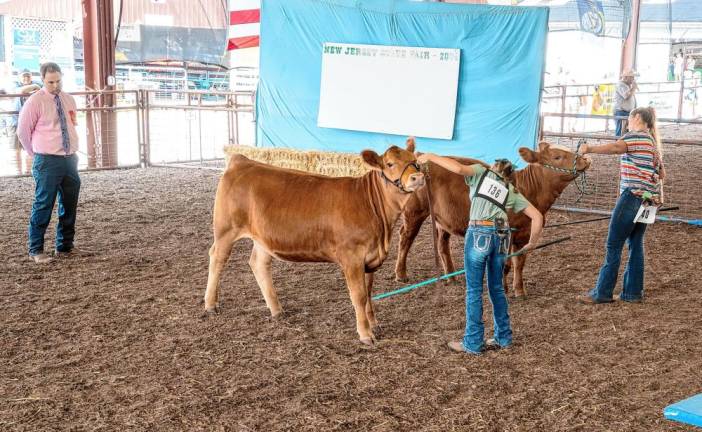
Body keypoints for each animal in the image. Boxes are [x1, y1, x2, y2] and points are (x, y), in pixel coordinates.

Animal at [204, 138, 424, 344]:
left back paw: (276, 309)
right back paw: (210, 304)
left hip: (262, 238)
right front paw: (365, 334)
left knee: (258, 263)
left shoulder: (370, 259)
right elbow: (359, 296)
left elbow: (369, 294)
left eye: (415, 162)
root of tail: (242, 161)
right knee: (217, 258)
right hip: (225, 229)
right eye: (389, 164)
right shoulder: (351, 257)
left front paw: (374, 325)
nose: (417, 177)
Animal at [398, 143, 592, 298]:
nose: (584, 159)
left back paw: (451, 277)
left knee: (442, 244)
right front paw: (504, 290)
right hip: (414, 211)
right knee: (405, 237)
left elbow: (519, 263)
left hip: (443, 219)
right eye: (557, 156)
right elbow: (505, 265)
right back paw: (401, 274)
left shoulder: (525, 234)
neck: (529, 191)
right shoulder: (507, 234)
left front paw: (520, 290)